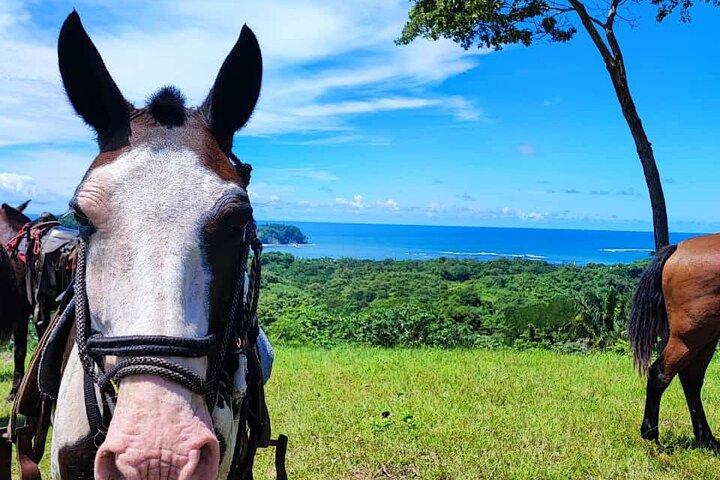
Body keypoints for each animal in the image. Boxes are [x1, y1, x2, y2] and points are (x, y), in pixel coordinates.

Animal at [630, 238, 720, 449]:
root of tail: (677, 248)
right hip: (689, 338)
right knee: (660, 373)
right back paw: (650, 432)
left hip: (707, 338)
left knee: (691, 380)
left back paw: (707, 439)